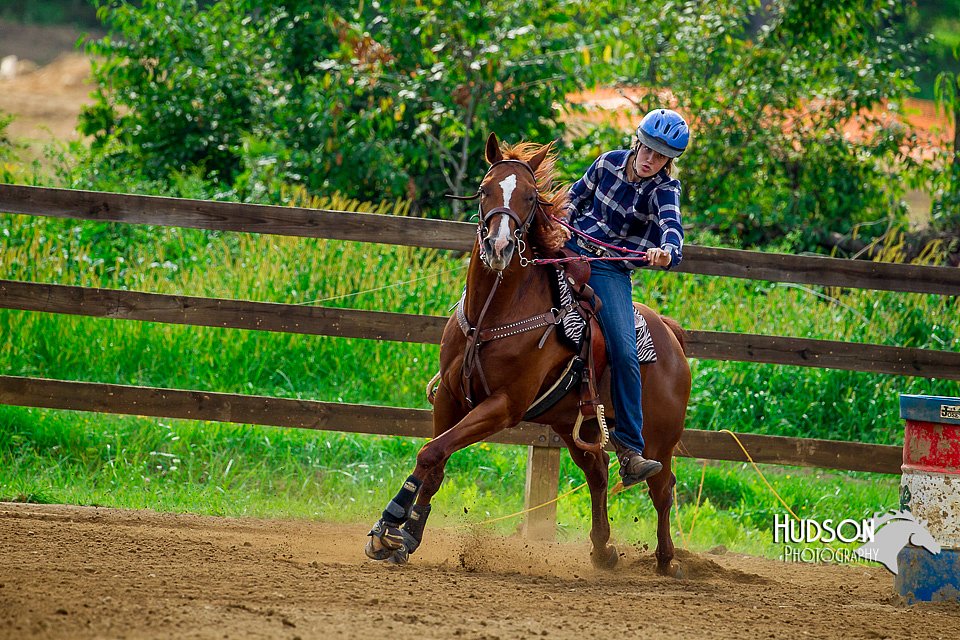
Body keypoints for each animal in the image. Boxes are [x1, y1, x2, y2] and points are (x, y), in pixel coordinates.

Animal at [362, 132, 688, 572]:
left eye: (531, 197)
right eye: (485, 189)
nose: (498, 246)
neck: (493, 314)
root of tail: (669, 332)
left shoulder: (503, 406)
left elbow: (431, 452)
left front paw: (390, 525)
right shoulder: (450, 397)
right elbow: (435, 461)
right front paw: (407, 535)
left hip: (659, 440)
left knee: (662, 488)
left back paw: (666, 559)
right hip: (572, 426)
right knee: (599, 473)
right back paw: (602, 550)